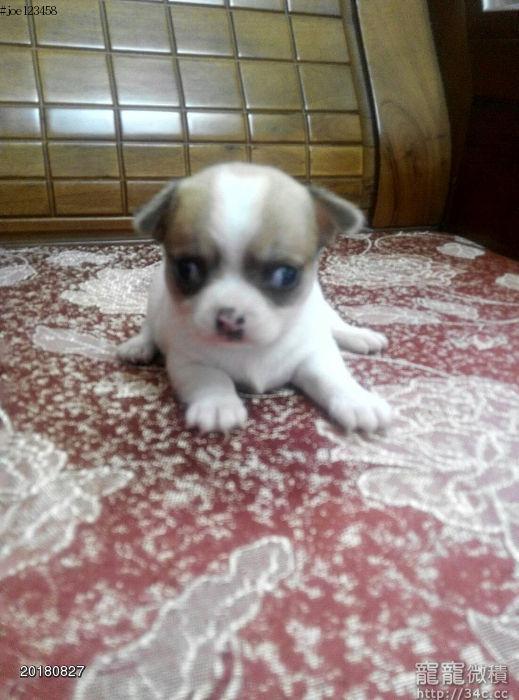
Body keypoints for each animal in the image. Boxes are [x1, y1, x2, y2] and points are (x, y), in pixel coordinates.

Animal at [117, 162, 391, 434]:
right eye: (187, 269)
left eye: (286, 275)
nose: (228, 319)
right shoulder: (188, 362)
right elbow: (211, 378)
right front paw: (218, 404)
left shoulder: (314, 354)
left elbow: (332, 376)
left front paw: (357, 400)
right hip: (155, 302)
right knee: (149, 328)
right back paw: (139, 346)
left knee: (333, 322)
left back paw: (358, 335)